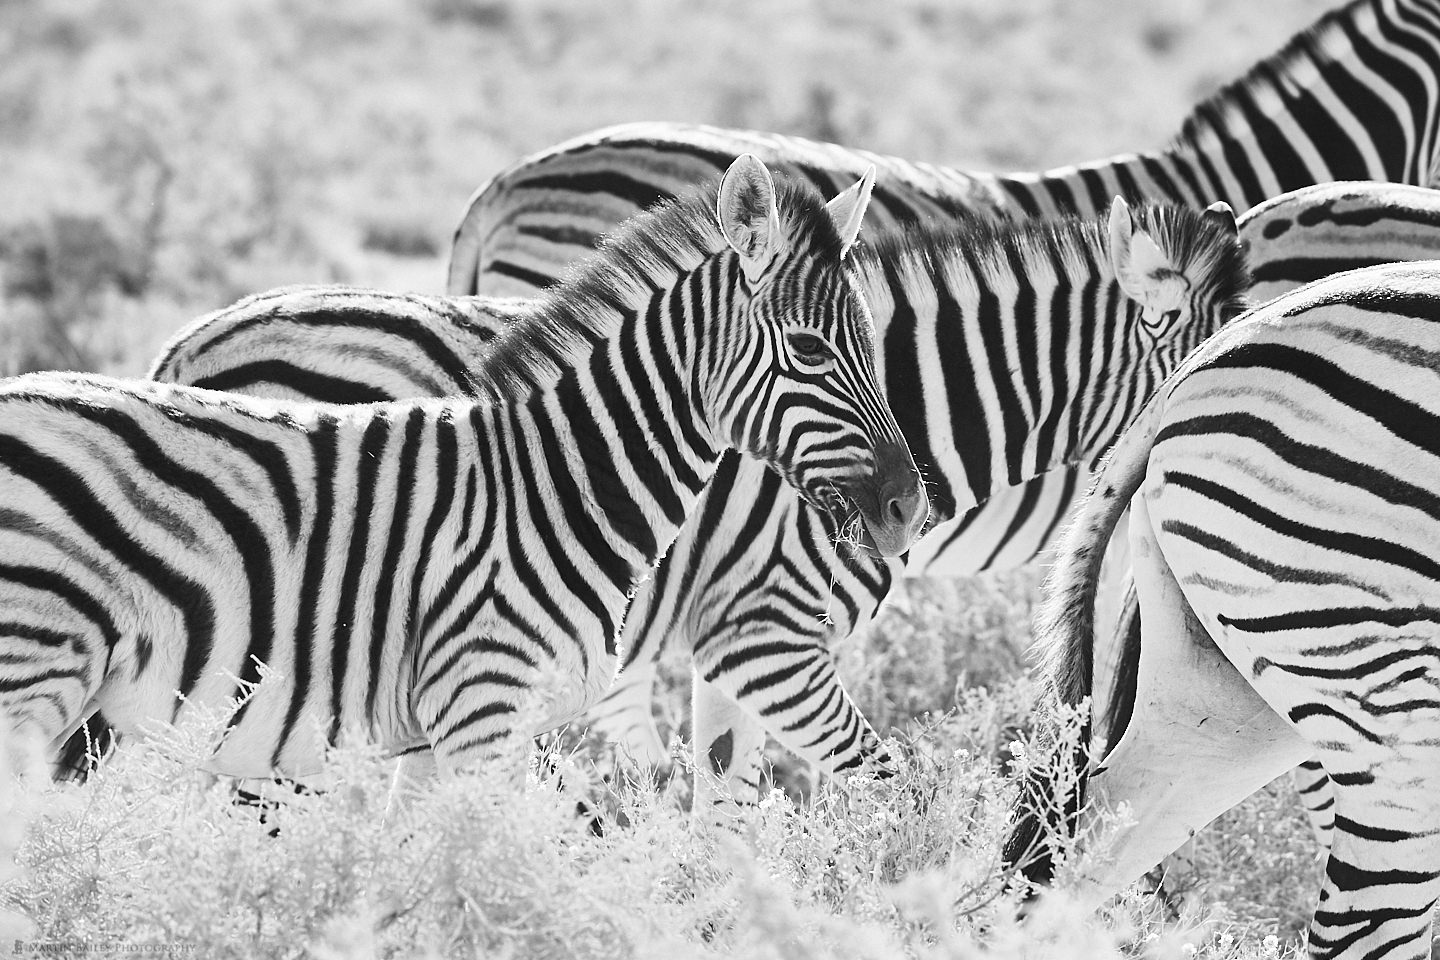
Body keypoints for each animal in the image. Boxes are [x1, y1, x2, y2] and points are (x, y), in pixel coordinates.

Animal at [2, 156, 933, 788]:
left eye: (873, 342)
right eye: (809, 350)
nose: (908, 508)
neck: (559, 485)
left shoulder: (434, 735)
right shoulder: (483, 706)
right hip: (34, 675)